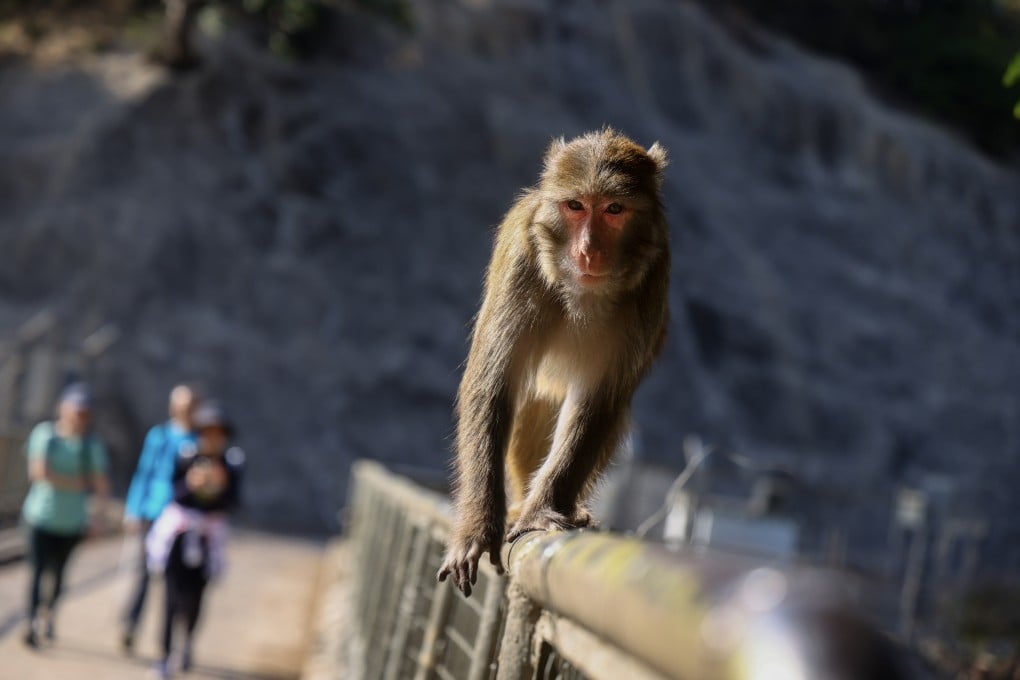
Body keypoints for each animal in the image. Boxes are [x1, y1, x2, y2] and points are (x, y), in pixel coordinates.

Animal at [437, 128, 670, 597]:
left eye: (614, 209)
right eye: (575, 206)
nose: (588, 252)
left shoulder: (652, 281)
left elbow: (599, 400)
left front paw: (542, 511)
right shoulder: (522, 262)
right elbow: (492, 386)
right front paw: (477, 529)